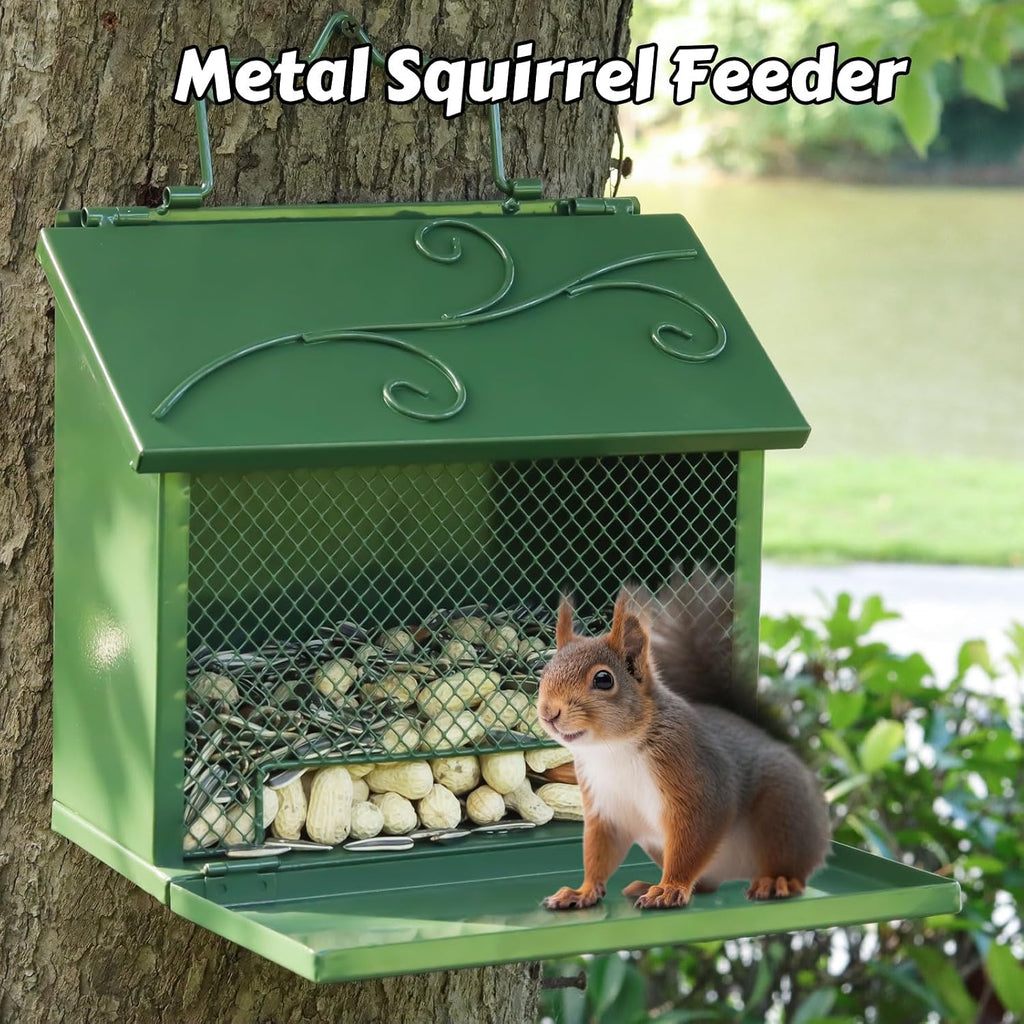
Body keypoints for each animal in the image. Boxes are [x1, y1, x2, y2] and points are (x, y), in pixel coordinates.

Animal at [537, 568, 830, 911]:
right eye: (544, 671)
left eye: (603, 679)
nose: (548, 712)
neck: (615, 749)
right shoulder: (606, 808)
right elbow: (599, 853)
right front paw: (582, 892)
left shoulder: (696, 782)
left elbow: (692, 842)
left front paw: (670, 888)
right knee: (706, 882)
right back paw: (655, 884)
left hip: (782, 813)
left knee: (790, 864)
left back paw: (776, 881)